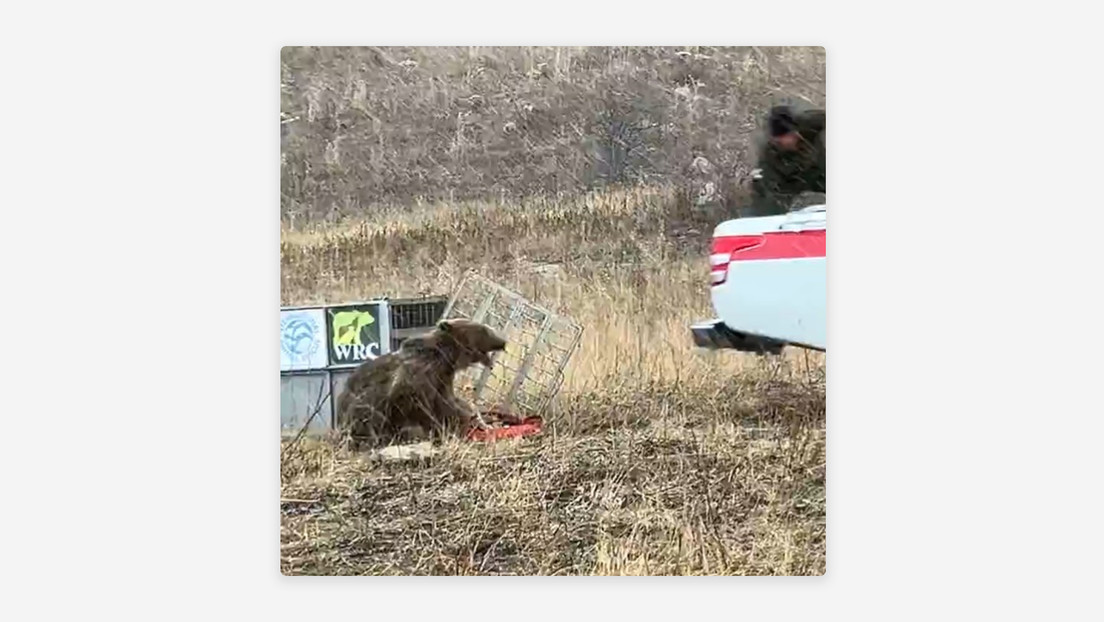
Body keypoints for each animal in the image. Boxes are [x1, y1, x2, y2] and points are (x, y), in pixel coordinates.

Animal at [334, 317, 508, 448]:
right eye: (483, 329)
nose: (503, 341)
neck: (446, 357)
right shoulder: (416, 376)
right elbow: (416, 403)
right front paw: (441, 430)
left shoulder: (442, 379)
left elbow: (449, 404)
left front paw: (467, 421)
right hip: (358, 408)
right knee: (369, 418)